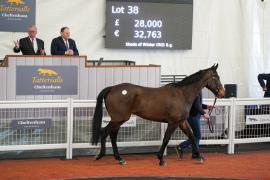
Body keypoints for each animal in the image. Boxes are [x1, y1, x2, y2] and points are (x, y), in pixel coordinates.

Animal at [92, 64, 225, 165]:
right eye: (216, 77)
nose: (222, 93)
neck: (182, 94)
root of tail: (112, 88)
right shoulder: (173, 122)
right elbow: (166, 139)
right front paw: (161, 159)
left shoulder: (182, 122)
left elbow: (192, 136)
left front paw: (200, 156)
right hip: (119, 119)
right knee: (105, 132)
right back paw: (101, 156)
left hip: (118, 120)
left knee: (112, 135)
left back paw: (119, 159)